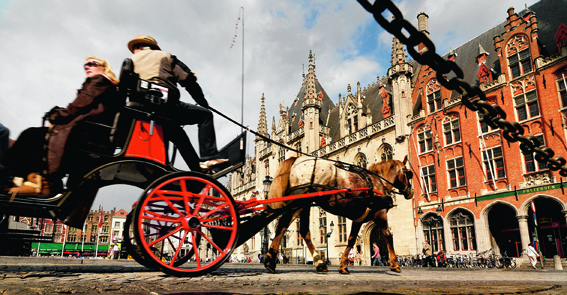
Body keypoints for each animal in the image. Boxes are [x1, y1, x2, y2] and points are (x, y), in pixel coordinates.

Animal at [262, 156, 412, 274]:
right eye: (409, 173)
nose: (410, 192)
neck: (377, 183)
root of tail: (297, 159)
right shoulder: (380, 214)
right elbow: (388, 236)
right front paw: (395, 265)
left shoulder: (358, 219)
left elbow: (351, 240)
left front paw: (343, 266)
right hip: (300, 202)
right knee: (283, 224)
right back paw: (270, 260)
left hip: (305, 204)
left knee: (303, 231)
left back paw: (319, 263)